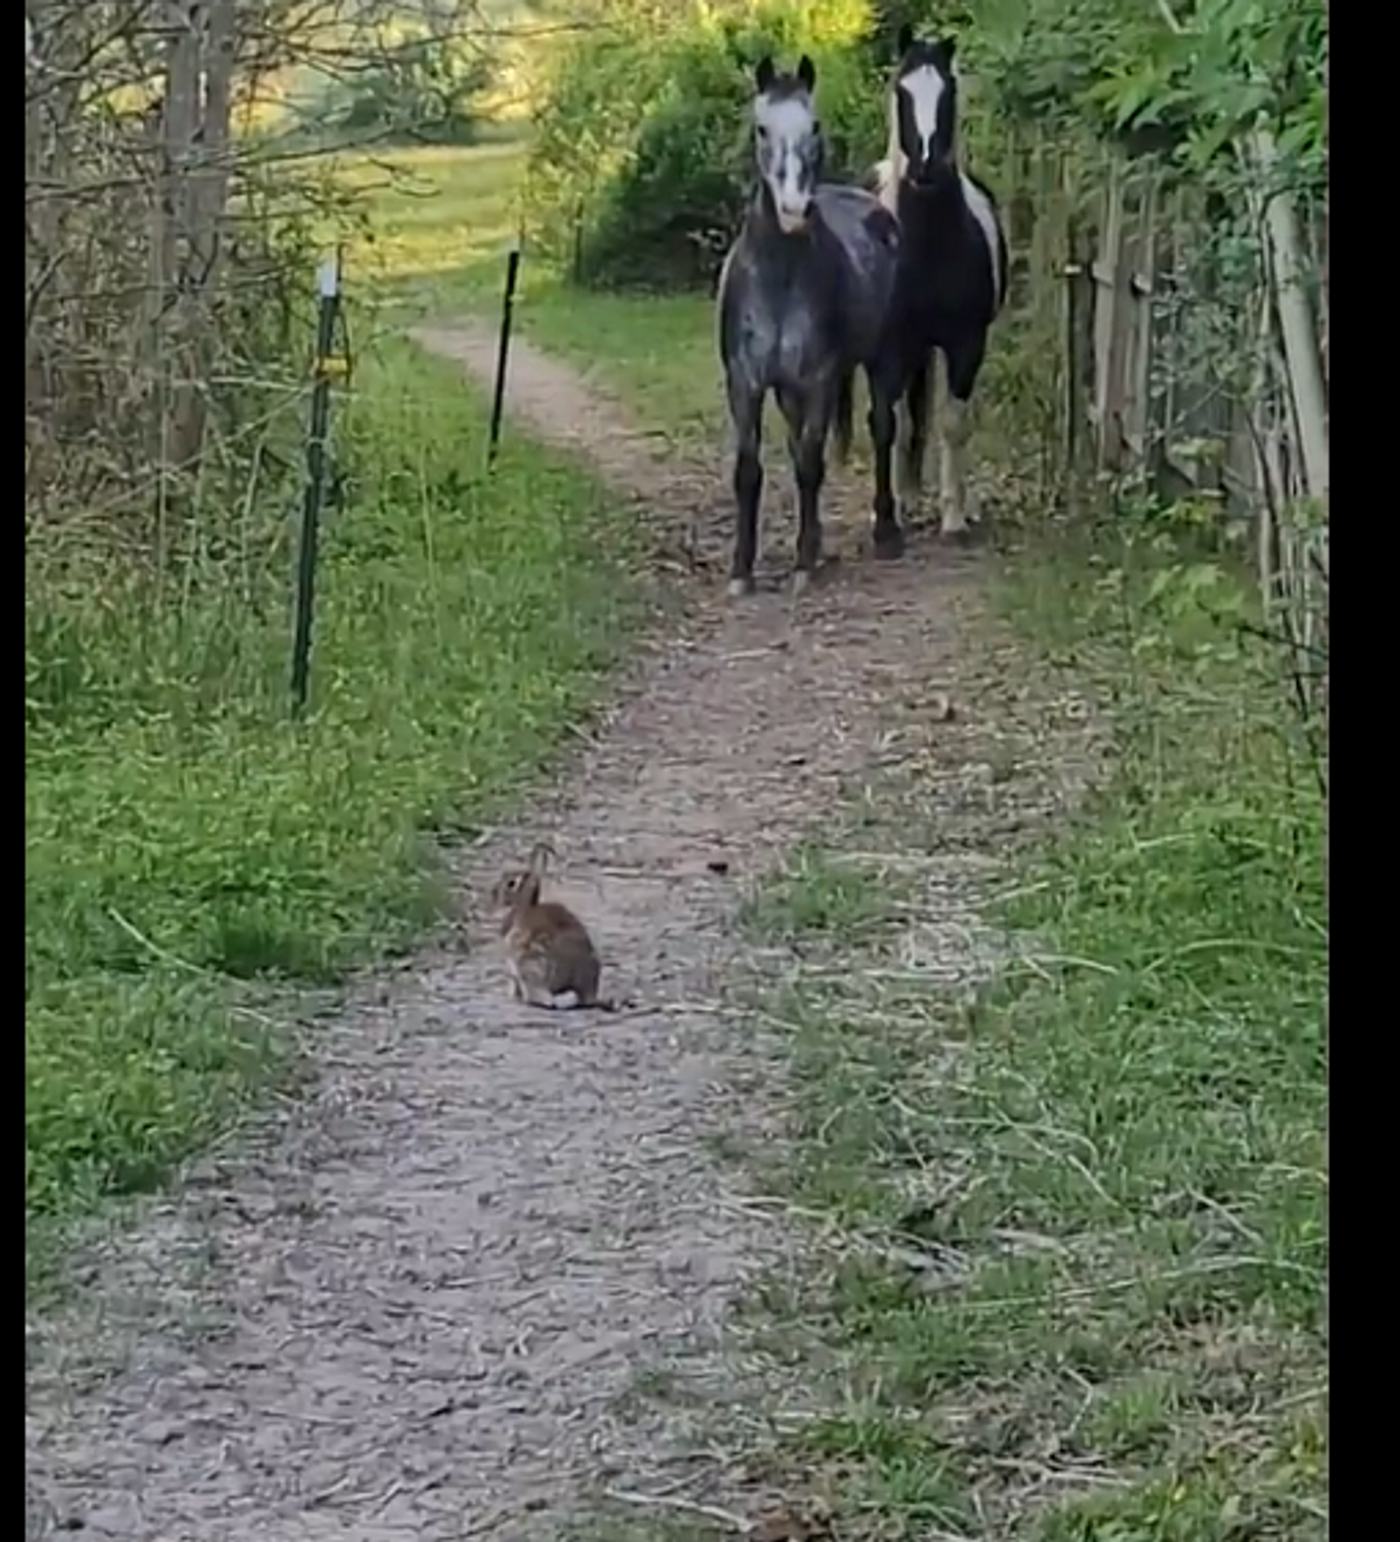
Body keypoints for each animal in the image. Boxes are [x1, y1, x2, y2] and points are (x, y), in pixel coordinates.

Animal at [715, 54, 900, 595]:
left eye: (814, 125)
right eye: (761, 128)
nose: (794, 210)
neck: (780, 278)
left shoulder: (819, 379)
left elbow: (811, 466)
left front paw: (801, 565)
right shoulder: (747, 382)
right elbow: (750, 471)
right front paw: (742, 571)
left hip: (882, 360)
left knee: (882, 430)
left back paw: (886, 533)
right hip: (789, 391)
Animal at [875, 24, 1005, 542]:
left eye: (948, 91)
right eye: (902, 91)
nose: (926, 166)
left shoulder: (967, 343)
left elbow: (952, 424)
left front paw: (954, 516)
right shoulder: (892, 344)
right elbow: (892, 422)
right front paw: (890, 514)